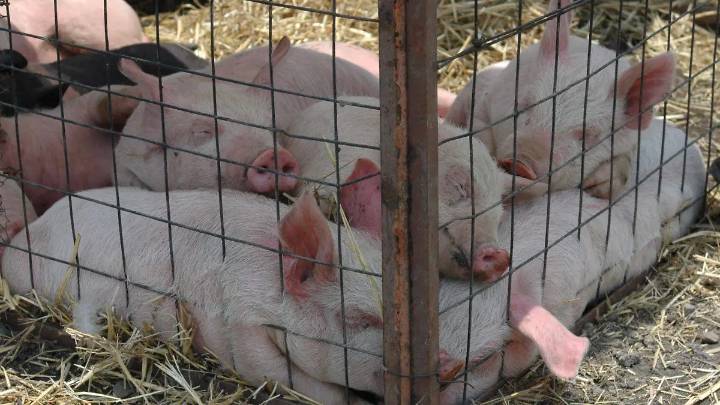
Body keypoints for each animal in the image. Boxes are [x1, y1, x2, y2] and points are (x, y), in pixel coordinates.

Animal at [446, 0, 676, 201]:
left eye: (586, 135)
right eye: (524, 105)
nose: (521, 162)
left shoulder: (630, 143)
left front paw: (595, 187)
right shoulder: (486, 97)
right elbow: (479, 130)